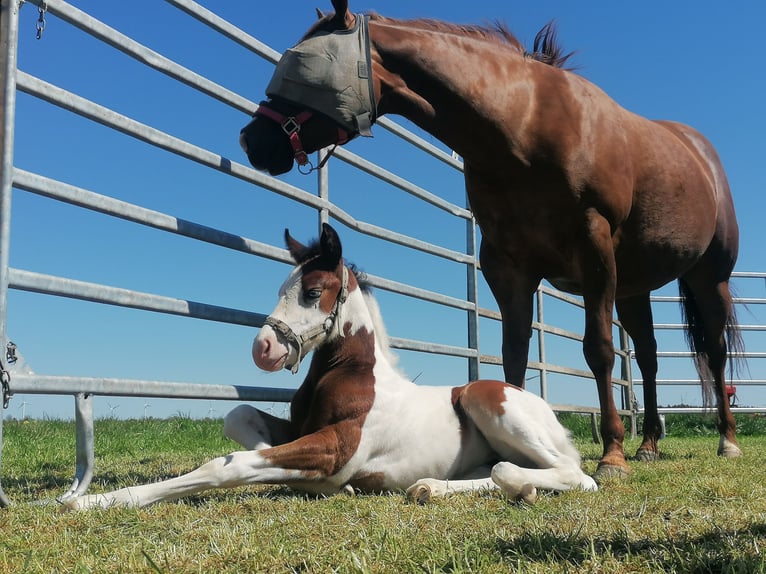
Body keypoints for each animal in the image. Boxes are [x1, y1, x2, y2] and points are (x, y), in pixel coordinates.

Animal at [64, 224, 597, 510]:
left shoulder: (337, 446)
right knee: (499, 470)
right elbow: (241, 421)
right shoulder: (302, 432)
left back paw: (520, 485)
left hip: (487, 400)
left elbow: (226, 464)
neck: (352, 375)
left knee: (572, 474)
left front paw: (86, 501)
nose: (262, 349)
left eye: (312, 291)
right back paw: (431, 487)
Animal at [238, 0, 744, 479]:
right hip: (634, 288)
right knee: (649, 357)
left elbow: (598, 349)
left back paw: (726, 439)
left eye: (300, 66)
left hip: (708, 278)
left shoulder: (594, 247)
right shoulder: (507, 265)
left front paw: (612, 454)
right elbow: (513, 354)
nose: (250, 139)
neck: (526, 124)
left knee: (715, 351)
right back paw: (650, 443)